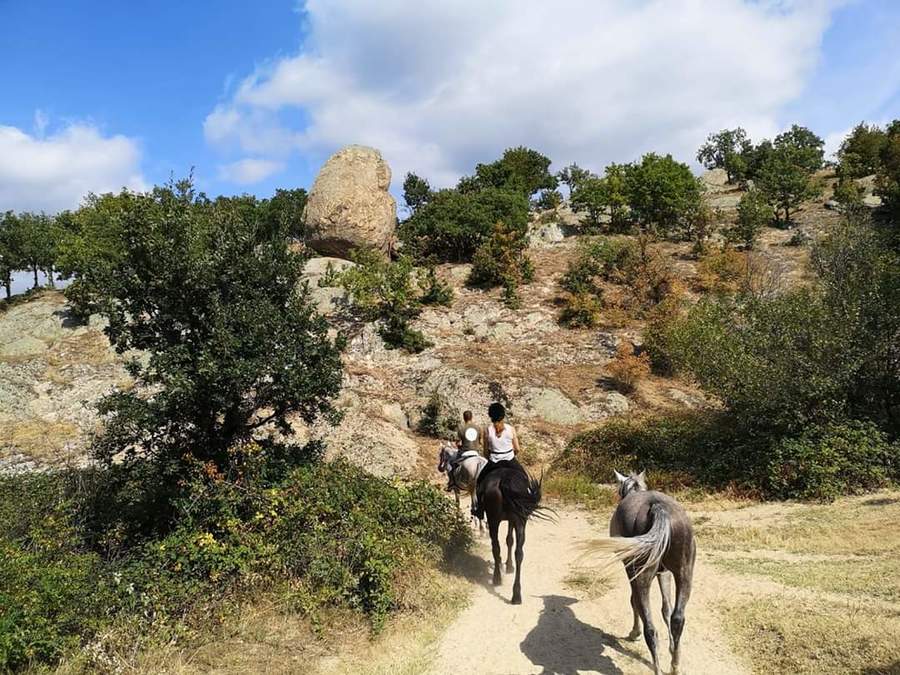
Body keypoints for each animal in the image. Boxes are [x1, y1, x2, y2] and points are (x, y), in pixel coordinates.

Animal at [588, 472, 700, 675]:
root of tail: (657, 508)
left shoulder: (631, 572)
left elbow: (633, 602)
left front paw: (634, 633)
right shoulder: (665, 574)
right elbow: (666, 609)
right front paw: (672, 649)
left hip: (641, 575)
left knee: (651, 629)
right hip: (685, 573)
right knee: (677, 619)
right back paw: (675, 666)